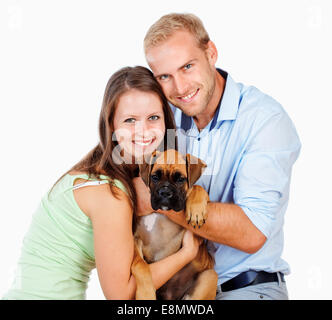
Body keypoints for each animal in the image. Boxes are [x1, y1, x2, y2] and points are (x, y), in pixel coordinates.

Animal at [131, 150, 219, 300]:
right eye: (155, 177)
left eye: (180, 179)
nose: (165, 192)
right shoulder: (136, 240)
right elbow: (140, 265)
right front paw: (146, 294)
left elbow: (197, 187)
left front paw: (196, 209)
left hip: (209, 276)